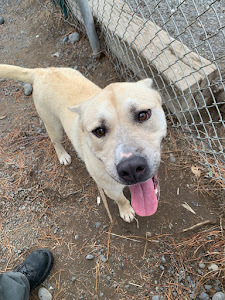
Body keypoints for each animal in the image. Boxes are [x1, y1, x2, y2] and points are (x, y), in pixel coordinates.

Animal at [0, 65, 167, 223]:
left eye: (143, 115)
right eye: (99, 131)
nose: (131, 168)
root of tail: (41, 72)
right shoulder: (110, 189)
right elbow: (121, 199)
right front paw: (126, 211)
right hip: (54, 126)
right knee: (55, 141)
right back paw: (63, 155)